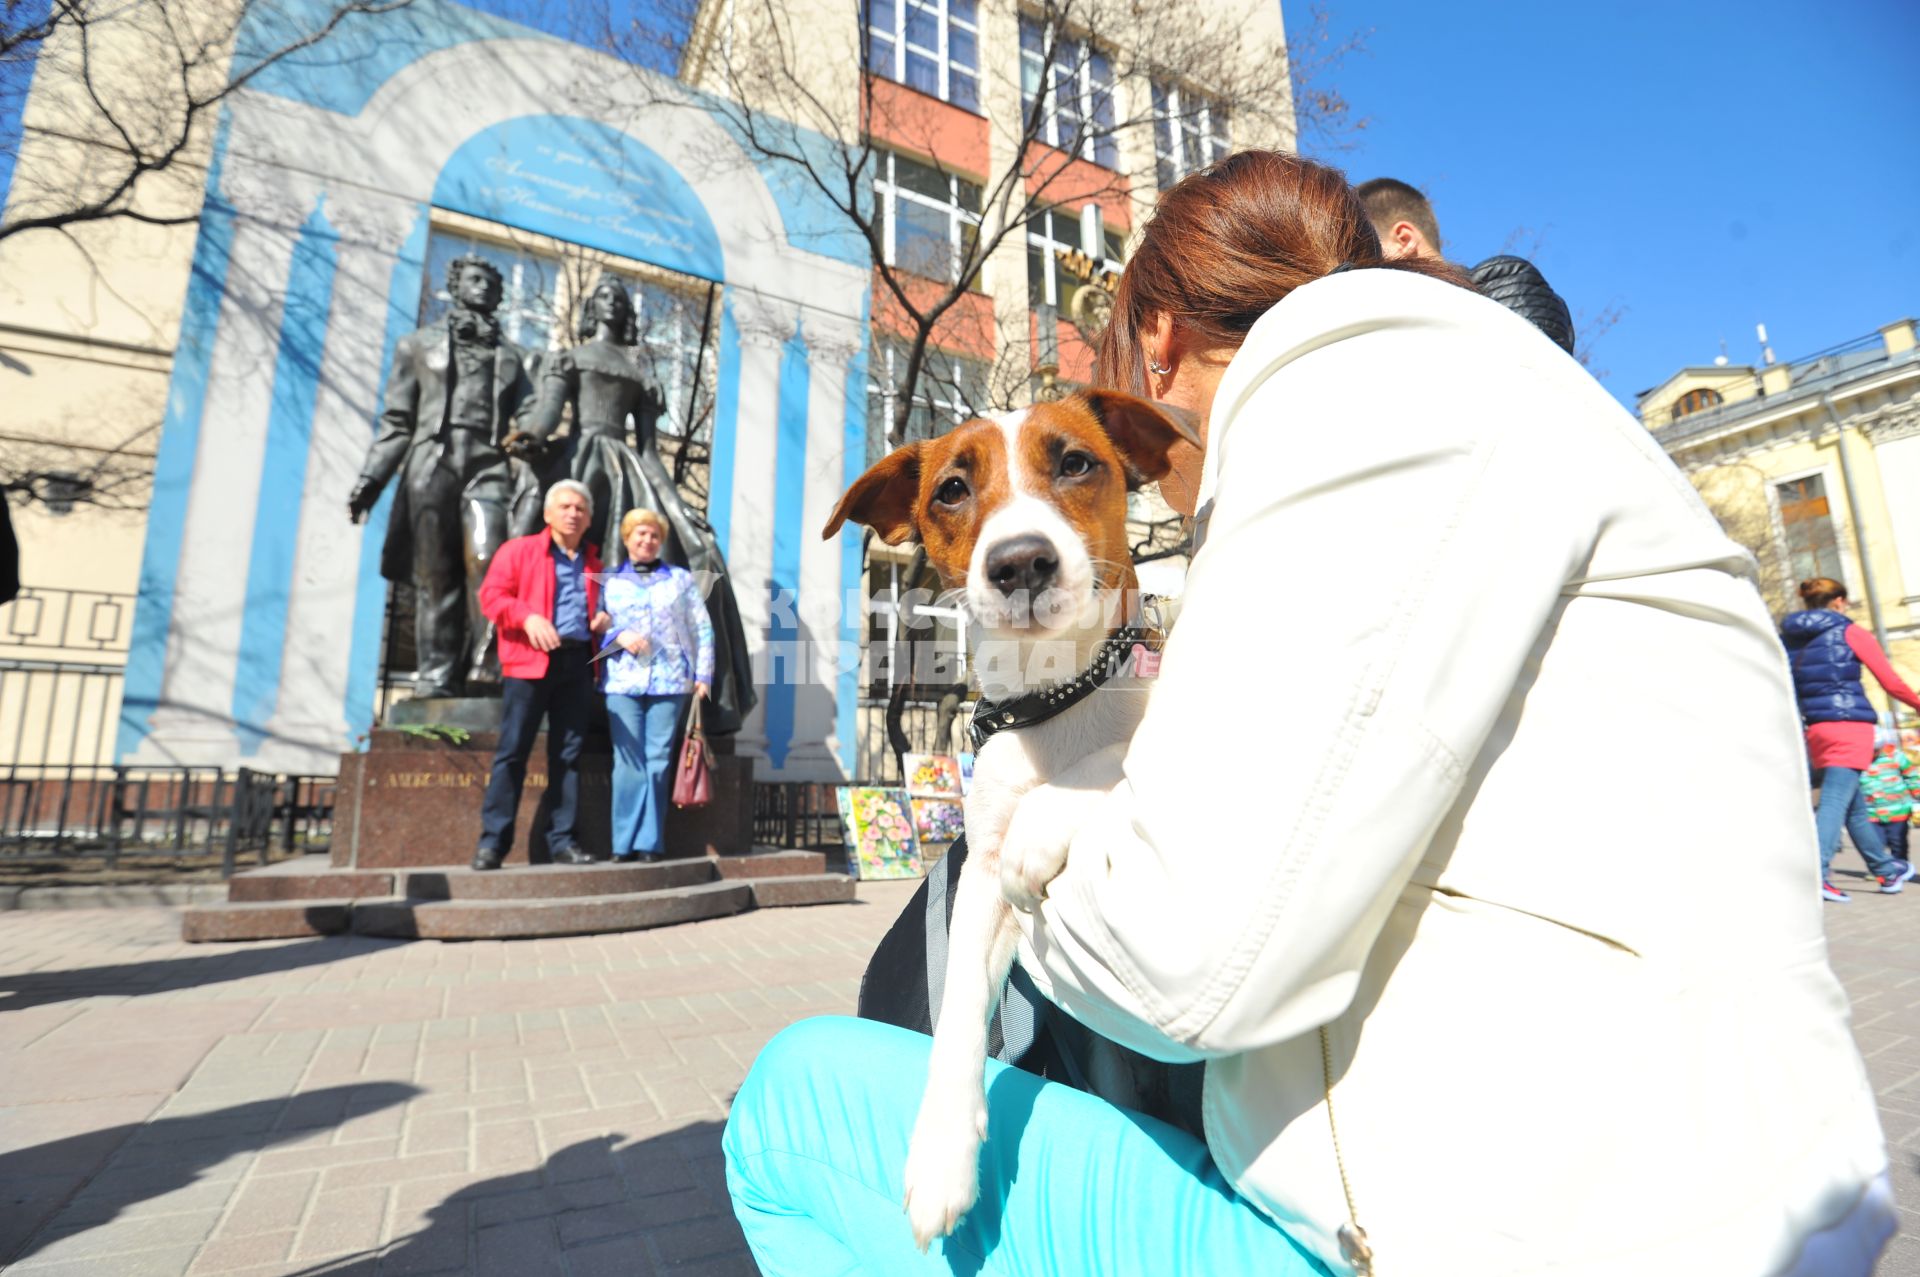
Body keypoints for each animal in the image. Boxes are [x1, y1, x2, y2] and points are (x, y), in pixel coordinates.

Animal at [821, 387, 1198, 1244]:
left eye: (1076, 462)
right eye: (952, 490)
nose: (1021, 560)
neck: (1053, 699)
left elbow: (1122, 756)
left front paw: (1045, 818)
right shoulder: (982, 889)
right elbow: (960, 1008)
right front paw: (941, 1157)